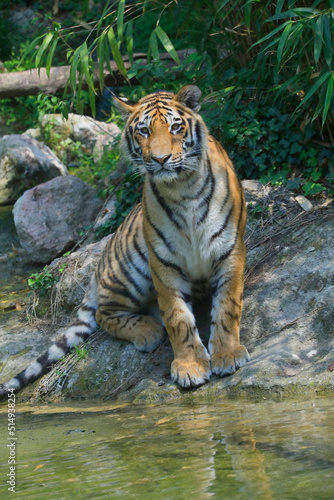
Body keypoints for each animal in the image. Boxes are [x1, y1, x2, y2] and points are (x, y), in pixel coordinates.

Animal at [0, 86, 249, 398]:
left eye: (175, 127)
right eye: (144, 131)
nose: (161, 159)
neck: (183, 188)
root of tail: (96, 272)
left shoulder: (230, 251)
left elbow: (227, 307)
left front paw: (227, 355)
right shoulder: (163, 263)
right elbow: (178, 317)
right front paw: (190, 366)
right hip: (130, 270)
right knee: (105, 314)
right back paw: (149, 330)